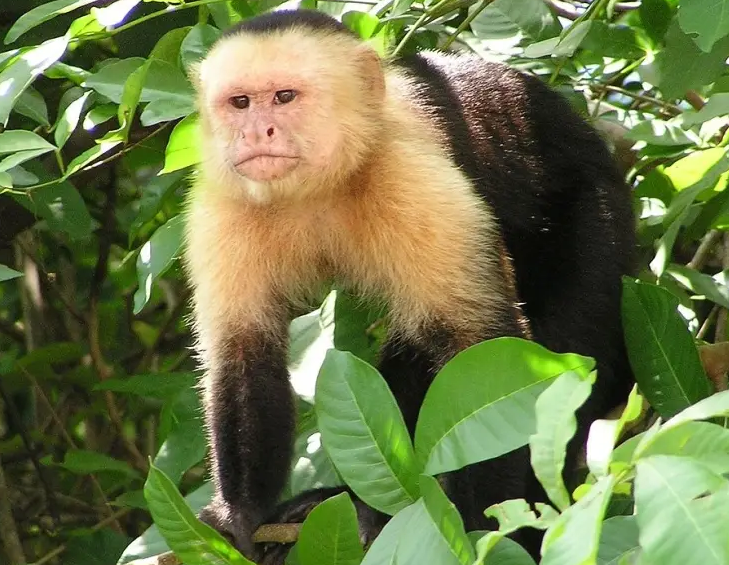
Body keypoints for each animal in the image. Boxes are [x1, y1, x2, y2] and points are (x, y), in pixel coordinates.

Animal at [182, 9, 636, 562]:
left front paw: (476, 532)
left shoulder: (412, 179)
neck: (320, 188)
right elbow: (243, 352)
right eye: (240, 103)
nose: (255, 132)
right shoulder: (224, 201)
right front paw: (241, 516)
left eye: (285, 97)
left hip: (595, 214)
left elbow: (480, 349)